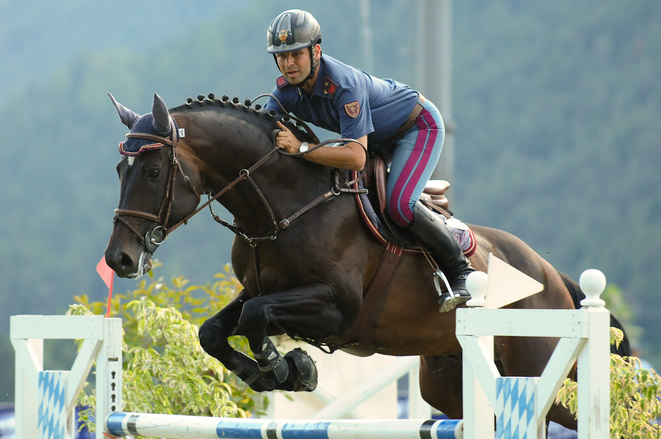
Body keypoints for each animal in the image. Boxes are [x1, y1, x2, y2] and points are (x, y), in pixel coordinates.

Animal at [103, 92, 624, 430]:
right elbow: (214, 330)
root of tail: (552, 277)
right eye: (119, 169)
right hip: (448, 382)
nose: (120, 259)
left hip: (538, 370)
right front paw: (275, 370)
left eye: (153, 170)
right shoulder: (262, 289)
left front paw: (286, 368)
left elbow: (254, 317)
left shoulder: (337, 308)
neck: (283, 204)